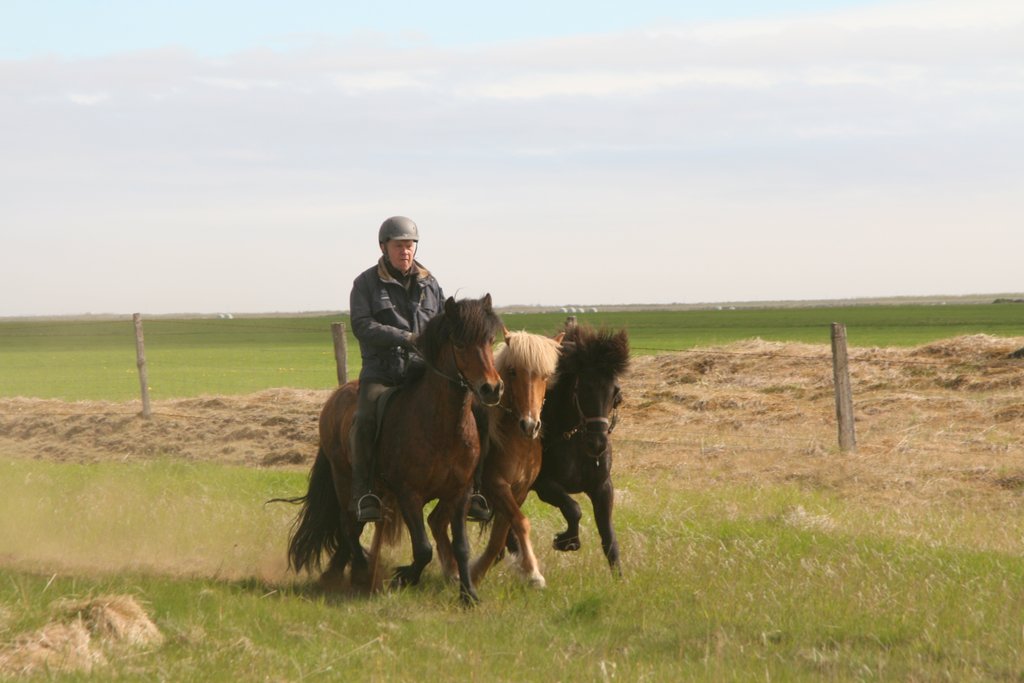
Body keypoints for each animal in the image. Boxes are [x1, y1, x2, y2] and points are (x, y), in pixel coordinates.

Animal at [280, 294, 504, 605]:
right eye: (459, 344)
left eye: (489, 340)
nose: (491, 389)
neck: (442, 426)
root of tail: (335, 397)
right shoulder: (408, 493)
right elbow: (422, 548)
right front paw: (403, 577)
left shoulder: (460, 492)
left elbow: (461, 546)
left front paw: (468, 594)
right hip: (345, 480)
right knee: (349, 524)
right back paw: (361, 572)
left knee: (354, 529)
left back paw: (341, 572)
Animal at [432, 329, 563, 588]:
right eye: (513, 371)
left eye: (545, 376)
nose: (530, 425)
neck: (514, 438)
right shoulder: (497, 486)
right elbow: (521, 523)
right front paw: (534, 573)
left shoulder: (518, 491)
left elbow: (499, 538)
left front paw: (475, 574)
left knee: (436, 521)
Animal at [512, 323, 629, 574]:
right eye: (582, 388)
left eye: (615, 391)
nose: (597, 444)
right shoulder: (544, 486)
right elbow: (573, 508)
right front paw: (566, 541)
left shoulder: (602, 487)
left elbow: (609, 538)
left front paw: (619, 578)